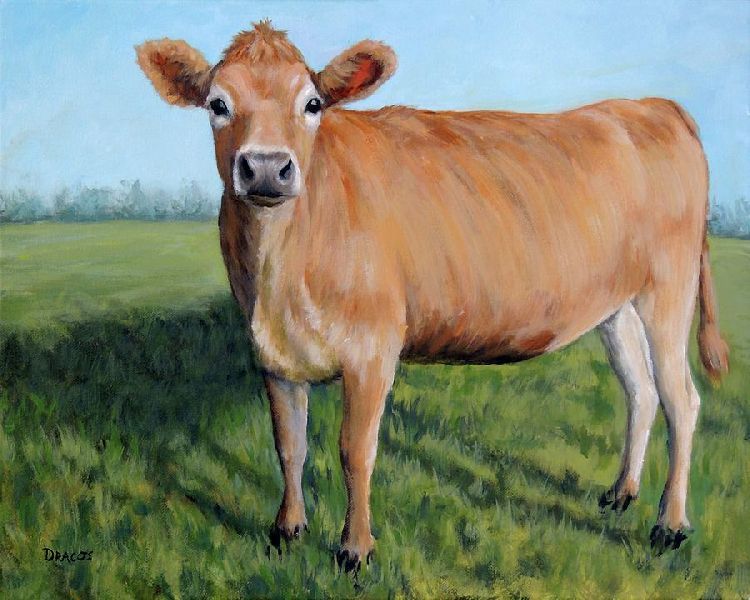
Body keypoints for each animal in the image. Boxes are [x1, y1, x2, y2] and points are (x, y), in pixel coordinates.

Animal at [136, 21, 729, 570]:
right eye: (218, 104)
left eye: (312, 104)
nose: (264, 167)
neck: (277, 279)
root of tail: (652, 105)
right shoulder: (271, 353)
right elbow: (289, 444)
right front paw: (287, 529)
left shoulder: (373, 348)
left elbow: (356, 450)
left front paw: (355, 549)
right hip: (617, 307)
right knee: (640, 391)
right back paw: (621, 493)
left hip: (669, 290)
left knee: (682, 400)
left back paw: (670, 525)